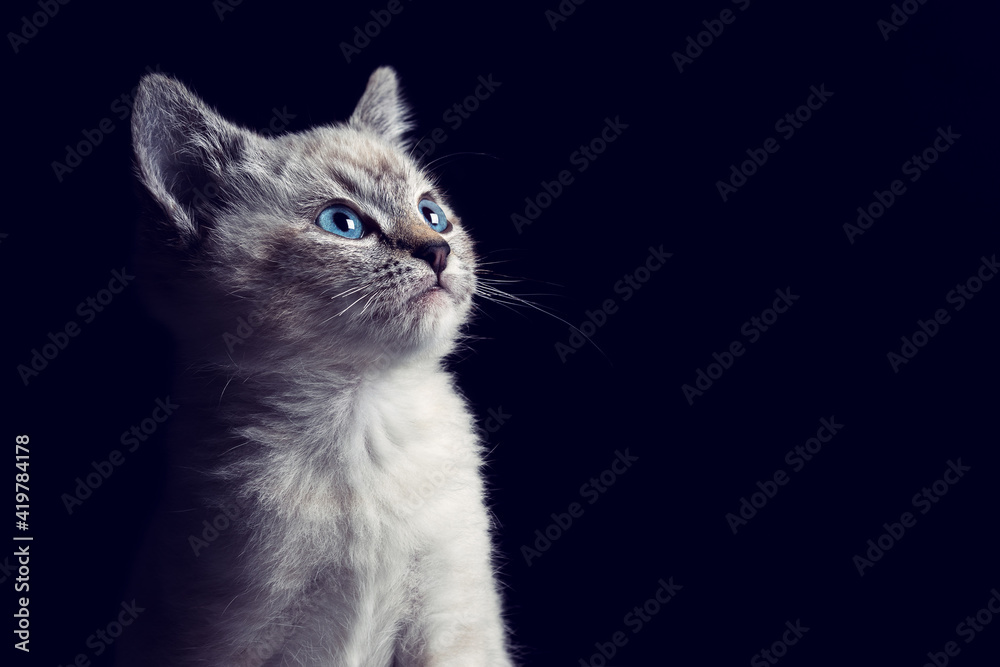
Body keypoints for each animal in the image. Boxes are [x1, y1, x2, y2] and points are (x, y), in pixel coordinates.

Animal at [119, 65, 516, 664]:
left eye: (433, 215)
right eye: (343, 223)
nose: (438, 251)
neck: (362, 414)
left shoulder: (451, 621)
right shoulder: (229, 633)